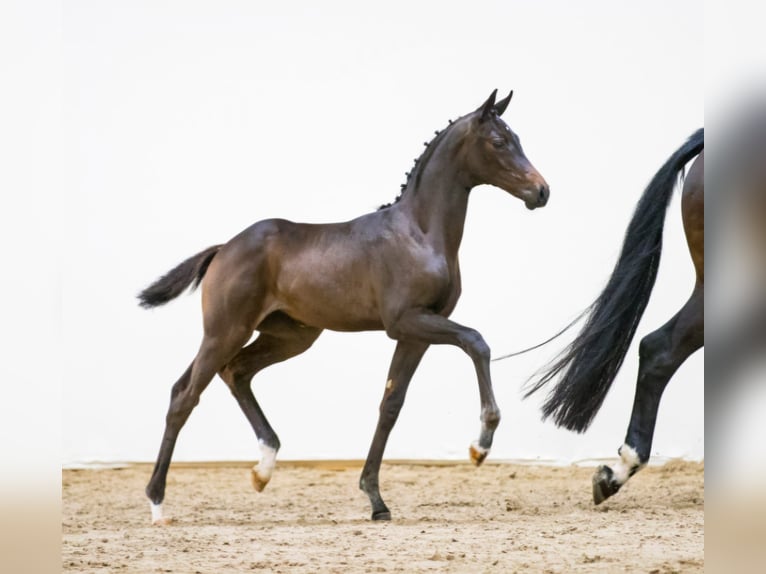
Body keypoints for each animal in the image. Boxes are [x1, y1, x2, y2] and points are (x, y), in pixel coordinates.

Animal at [138, 89, 550, 524]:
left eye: (517, 138)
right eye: (499, 141)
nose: (541, 191)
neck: (419, 233)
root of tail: (223, 249)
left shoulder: (418, 331)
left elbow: (391, 404)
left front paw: (376, 500)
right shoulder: (407, 321)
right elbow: (477, 342)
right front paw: (480, 445)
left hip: (289, 337)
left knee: (235, 373)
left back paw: (263, 469)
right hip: (225, 331)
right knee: (184, 395)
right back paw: (158, 503)